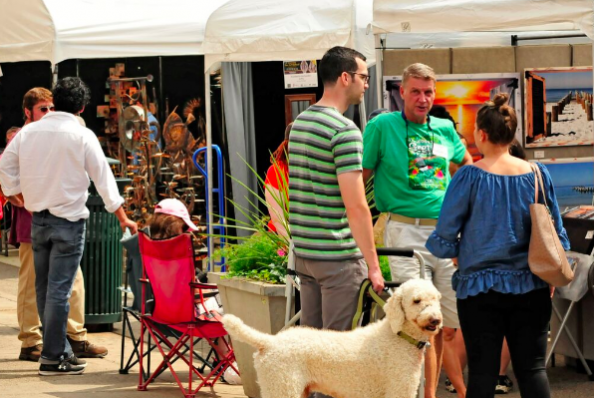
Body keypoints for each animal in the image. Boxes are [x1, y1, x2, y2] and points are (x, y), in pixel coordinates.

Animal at [221, 278, 440, 398]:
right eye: (416, 300)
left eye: (436, 299)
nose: (436, 320)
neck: (398, 336)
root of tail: (270, 341)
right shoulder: (397, 389)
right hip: (282, 387)